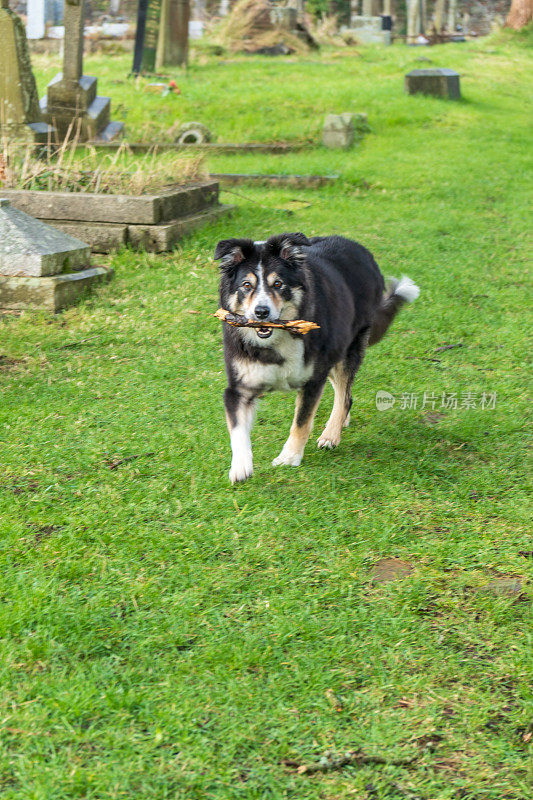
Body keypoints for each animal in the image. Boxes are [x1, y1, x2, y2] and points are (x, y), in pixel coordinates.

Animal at [213, 231, 420, 482]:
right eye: (246, 285)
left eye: (278, 284)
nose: (261, 312)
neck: (275, 342)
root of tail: (359, 248)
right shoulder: (238, 388)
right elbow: (237, 430)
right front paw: (240, 467)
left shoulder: (312, 380)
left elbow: (301, 422)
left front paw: (289, 457)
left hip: (347, 349)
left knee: (345, 396)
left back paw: (331, 434)